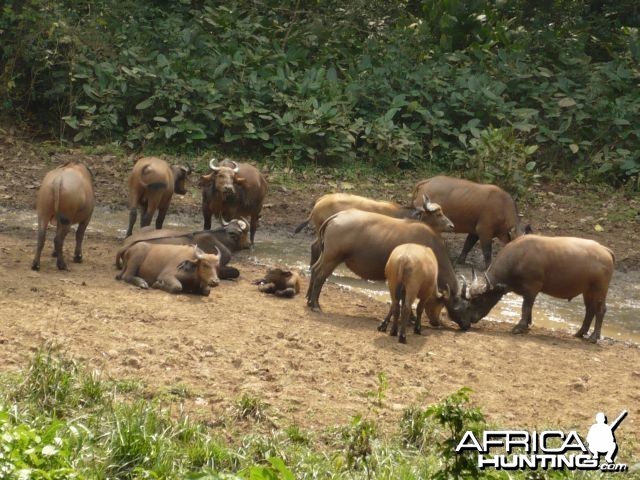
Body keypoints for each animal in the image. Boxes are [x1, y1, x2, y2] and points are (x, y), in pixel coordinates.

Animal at [308, 208, 468, 328]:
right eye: (460, 306)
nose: (466, 325)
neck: (430, 245)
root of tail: (337, 216)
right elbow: (406, 300)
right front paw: (410, 319)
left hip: (326, 255)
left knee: (314, 270)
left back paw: (309, 301)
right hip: (332, 258)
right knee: (321, 275)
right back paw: (316, 305)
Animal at [460, 235, 616, 342]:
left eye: (479, 300)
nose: (471, 319)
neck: (519, 257)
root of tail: (604, 250)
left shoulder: (531, 288)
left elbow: (526, 307)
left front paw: (520, 327)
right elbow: (529, 308)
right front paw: (527, 325)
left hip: (599, 289)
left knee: (601, 309)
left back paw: (594, 337)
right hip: (587, 290)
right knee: (590, 310)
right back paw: (579, 333)